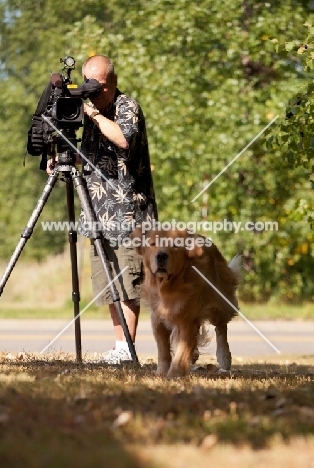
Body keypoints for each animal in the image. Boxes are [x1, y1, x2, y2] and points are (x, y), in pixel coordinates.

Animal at [130, 229, 240, 378]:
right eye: (153, 243)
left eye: (176, 245)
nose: (161, 256)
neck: (168, 287)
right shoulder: (158, 318)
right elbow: (163, 349)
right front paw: (162, 372)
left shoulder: (188, 319)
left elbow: (182, 349)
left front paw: (175, 373)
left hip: (218, 301)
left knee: (221, 327)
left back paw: (224, 357)